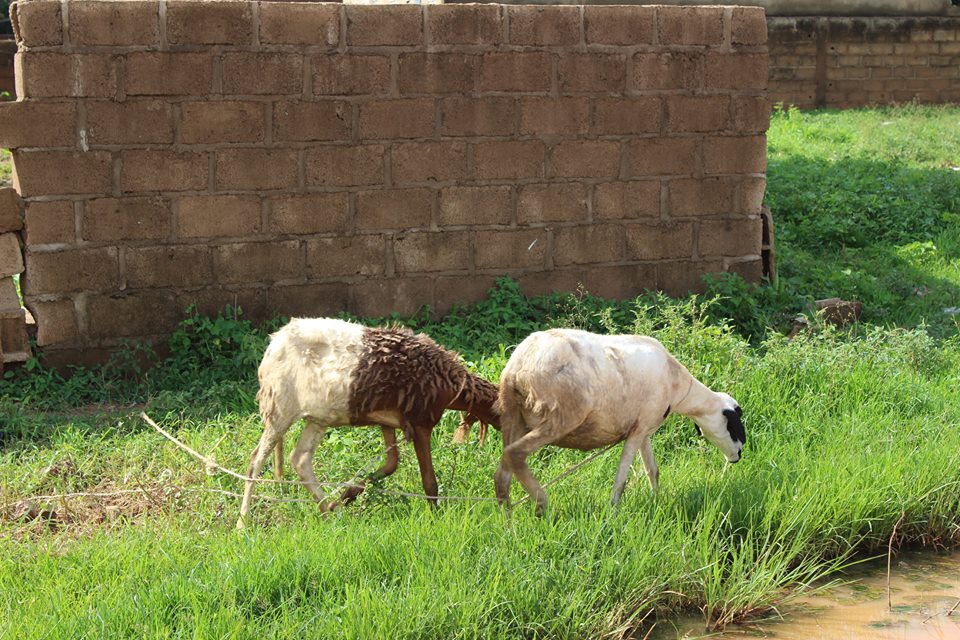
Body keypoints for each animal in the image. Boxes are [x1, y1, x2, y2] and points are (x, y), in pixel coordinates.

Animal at [237, 317, 500, 528]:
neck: (450, 385)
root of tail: (273, 345)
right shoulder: (421, 422)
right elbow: (429, 483)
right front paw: (436, 519)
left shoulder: (390, 423)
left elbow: (391, 464)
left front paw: (348, 495)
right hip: (280, 409)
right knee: (255, 461)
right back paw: (242, 524)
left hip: (318, 418)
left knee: (300, 459)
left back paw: (331, 511)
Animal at [495, 328, 745, 515]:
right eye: (733, 425)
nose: (738, 456)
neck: (680, 389)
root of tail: (519, 368)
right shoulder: (637, 431)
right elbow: (621, 479)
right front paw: (613, 510)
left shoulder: (644, 427)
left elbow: (653, 470)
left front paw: (656, 499)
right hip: (562, 414)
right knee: (515, 454)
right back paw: (542, 505)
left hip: (513, 415)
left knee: (502, 473)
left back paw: (507, 522)